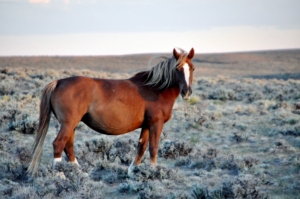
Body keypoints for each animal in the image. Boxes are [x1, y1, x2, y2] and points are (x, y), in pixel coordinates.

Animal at [27, 47, 196, 176]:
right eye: (177, 68)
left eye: (192, 68)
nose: (187, 92)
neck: (155, 89)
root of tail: (58, 82)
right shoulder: (156, 124)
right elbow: (153, 148)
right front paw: (153, 172)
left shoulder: (146, 125)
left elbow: (141, 147)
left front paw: (132, 171)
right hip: (68, 124)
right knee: (59, 144)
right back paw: (60, 175)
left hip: (71, 125)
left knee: (69, 147)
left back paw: (79, 173)